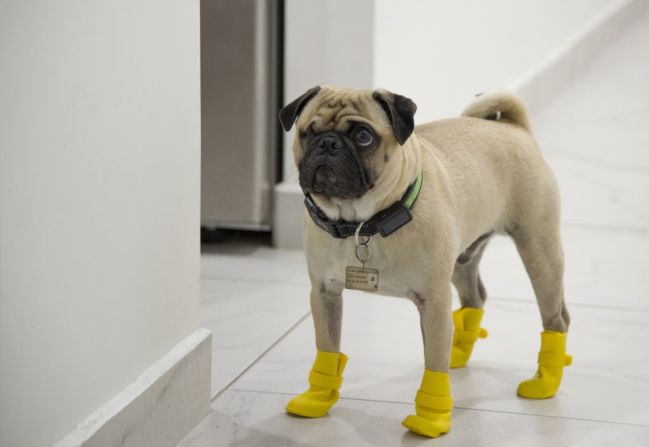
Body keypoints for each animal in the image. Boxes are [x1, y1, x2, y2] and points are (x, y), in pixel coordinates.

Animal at [276, 86, 568, 440]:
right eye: (308, 132)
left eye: (363, 136)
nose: (328, 143)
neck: (362, 224)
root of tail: (515, 128)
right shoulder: (324, 293)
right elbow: (328, 349)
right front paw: (318, 398)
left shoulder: (433, 302)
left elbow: (433, 367)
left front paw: (431, 418)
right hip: (462, 261)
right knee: (475, 298)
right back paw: (457, 352)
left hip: (539, 251)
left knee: (556, 317)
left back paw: (545, 381)